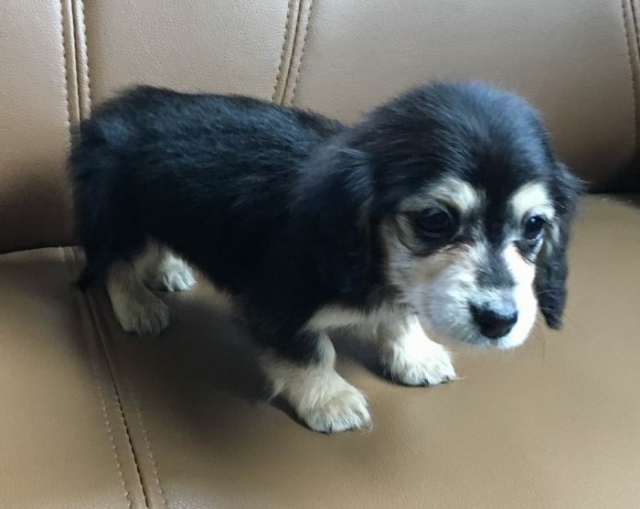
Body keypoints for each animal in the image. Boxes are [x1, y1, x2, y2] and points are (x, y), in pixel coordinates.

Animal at [70, 81, 581, 433]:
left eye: (534, 226)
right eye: (435, 219)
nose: (499, 321)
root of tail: (105, 115)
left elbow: (401, 317)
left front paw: (414, 355)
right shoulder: (276, 306)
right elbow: (311, 353)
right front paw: (329, 401)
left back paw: (169, 270)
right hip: (119, 217)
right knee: (116, 264)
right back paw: (138, 305)